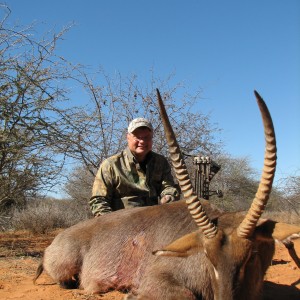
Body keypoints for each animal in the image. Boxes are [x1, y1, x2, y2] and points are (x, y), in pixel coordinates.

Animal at [34, 89, 298, 300]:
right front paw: (131, 294)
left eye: (251, 256)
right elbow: (184, 295)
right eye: (208, 257)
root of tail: (54, 242)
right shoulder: (158, 277)